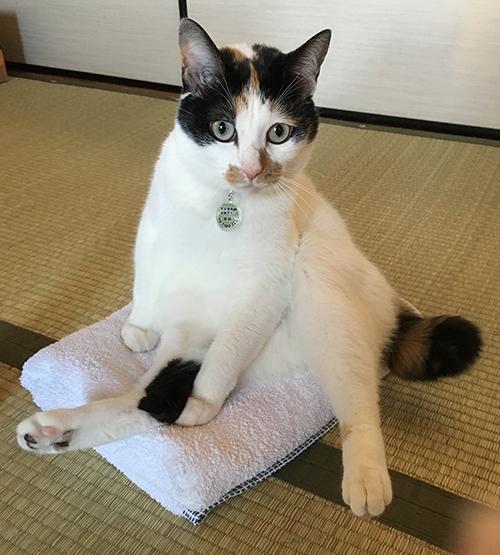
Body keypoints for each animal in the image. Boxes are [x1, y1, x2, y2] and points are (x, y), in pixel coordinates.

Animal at [17, 18, 481, 518]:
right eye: (223, 128)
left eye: (278, 133)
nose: (251, 170)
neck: (225, 204)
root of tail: (395, 311)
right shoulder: (154, 231)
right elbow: (146, 277)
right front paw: (139, 327)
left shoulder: (264, 286)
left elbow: (226, 354)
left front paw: (204, 402)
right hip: (187, 340)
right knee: (147, 399)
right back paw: (51, 432)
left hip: (323, 297)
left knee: (354, 401)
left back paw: (365, 479)